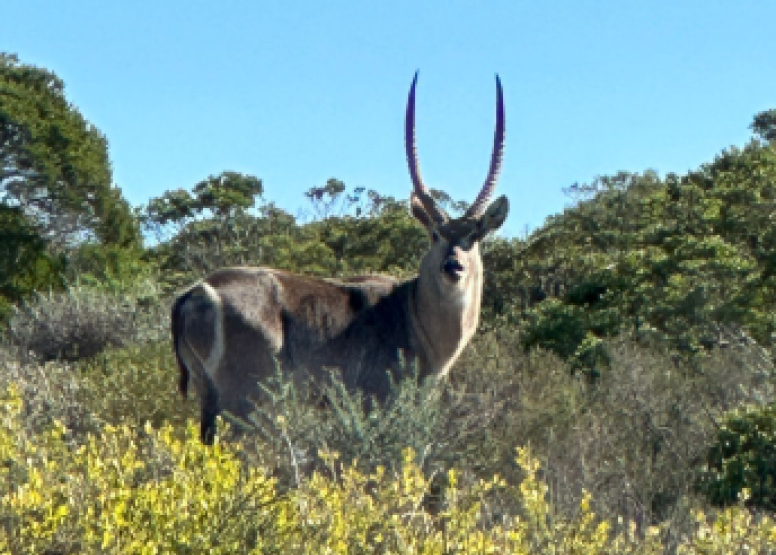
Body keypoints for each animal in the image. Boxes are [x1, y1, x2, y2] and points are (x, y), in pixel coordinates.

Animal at [171, 75, 510, 448]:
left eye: (474, 236)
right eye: (435, 234)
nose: (453, 266)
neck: (412, 311)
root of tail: (195, 292)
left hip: (208, 395)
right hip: (242, 400)